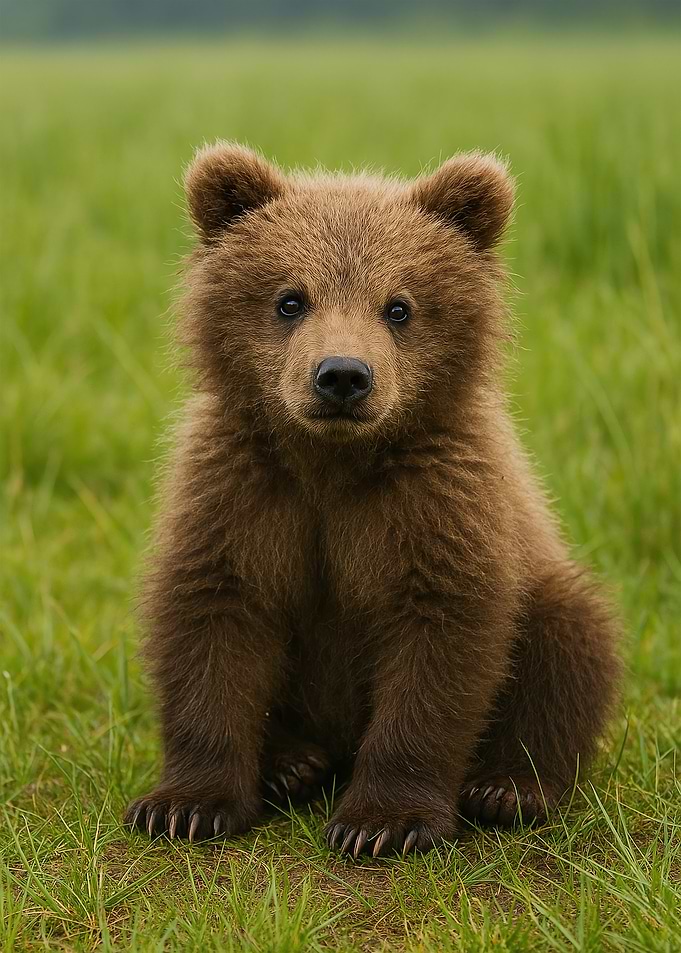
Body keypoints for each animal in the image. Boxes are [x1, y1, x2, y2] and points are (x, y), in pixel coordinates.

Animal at [125, 142, 621, 857]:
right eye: (290, 299)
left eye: (399, 306)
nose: (341, 376)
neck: (332, 464)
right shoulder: (242, 489)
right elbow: (214, 619)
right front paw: (184, 806)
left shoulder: (435, 501)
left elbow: (437, 644)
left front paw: (382, 821)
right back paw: (291, 764)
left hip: (545, 582)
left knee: (570, 642)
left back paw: (507, 788)